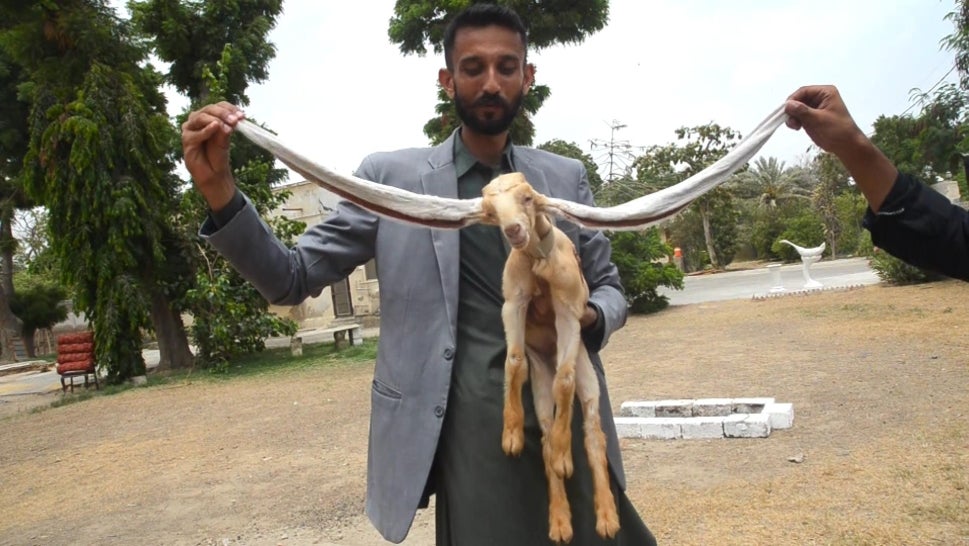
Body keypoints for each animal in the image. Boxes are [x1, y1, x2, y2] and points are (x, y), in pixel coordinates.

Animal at [480, 172, 616, 536]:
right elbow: (514, 362)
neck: (536, 258)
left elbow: (565, 382)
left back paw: (606, 516)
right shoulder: (514, 302)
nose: (513, 230)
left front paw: (564, 458)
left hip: (587, 370)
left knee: (593, 434)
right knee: (544, 431)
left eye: (527, 198)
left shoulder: (568, 309)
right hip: (540, 378)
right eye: (490, 210)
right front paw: (511, 435)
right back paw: (559, 520)